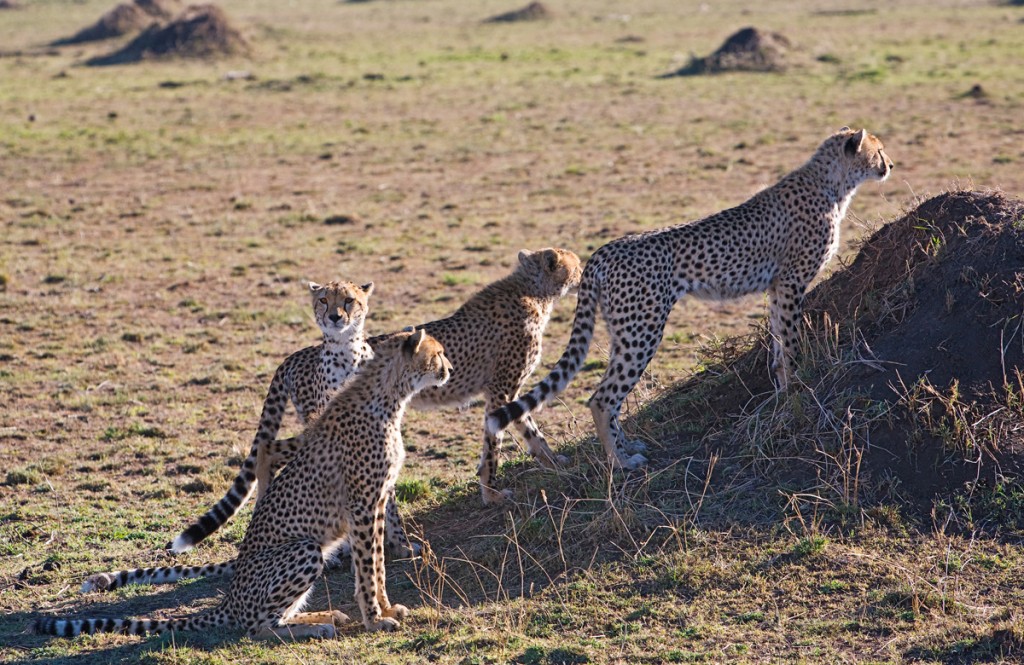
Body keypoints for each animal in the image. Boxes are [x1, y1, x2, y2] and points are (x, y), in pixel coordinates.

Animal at [37, 327, 452, 639]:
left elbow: (378, 564)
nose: (448, 368)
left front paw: (386, 608)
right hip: (305, 549)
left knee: (273, 616)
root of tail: (230, 597)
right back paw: (314, 627)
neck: (390, 396)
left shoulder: (377, 503)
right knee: (257, 627)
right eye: (438, 353)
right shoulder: (363, 505)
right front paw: (376, 619)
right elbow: (367, 568)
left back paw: (322, 617)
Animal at [483, 128, 892, 467]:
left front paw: (783, 392)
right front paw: (799, 388)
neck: (831, 182)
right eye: (879, 150)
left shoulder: (777, 287)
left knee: (611, 394)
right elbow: (790, 343)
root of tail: (604, 250)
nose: (890, 165)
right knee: (602, 397)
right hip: (643, 330)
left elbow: (778, 347)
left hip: (624, 330)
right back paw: (621, 463)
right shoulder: (791, 283)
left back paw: (628, 446)